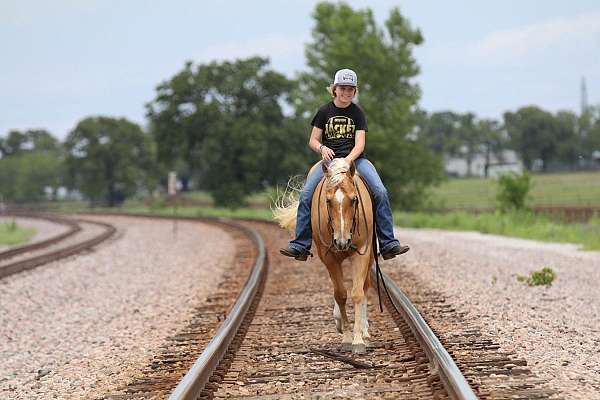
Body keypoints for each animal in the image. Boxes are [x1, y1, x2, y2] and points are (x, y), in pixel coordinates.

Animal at [276, 159, 376, 354]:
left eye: (354, 200)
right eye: (328, 201)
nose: (342, 241)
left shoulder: (362, 253)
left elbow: (357, 293)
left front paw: (358, 340)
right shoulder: (328, 257)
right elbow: (341, 294)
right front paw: (346, 338)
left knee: (365, 286)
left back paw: (366, 332)